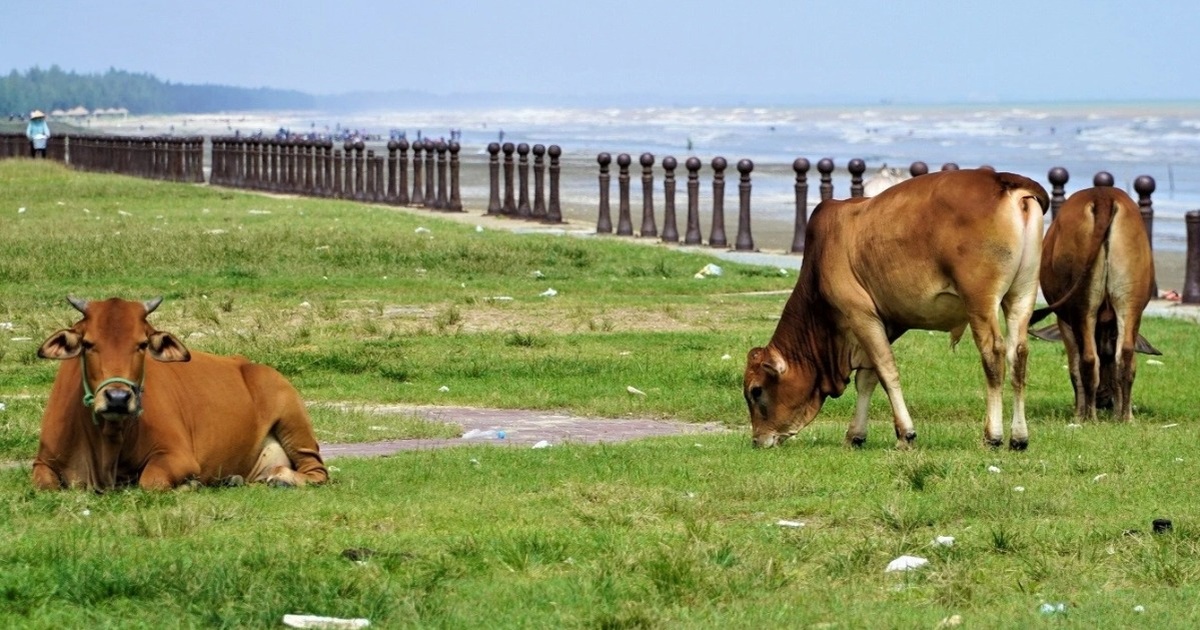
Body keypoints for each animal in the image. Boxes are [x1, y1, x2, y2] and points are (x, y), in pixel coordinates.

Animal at [35, 296, 331, 492]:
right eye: (88, 344)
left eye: (142, 344)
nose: (118, 398)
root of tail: (249, 365)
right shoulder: (42, 461)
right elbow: (44, 484)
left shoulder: (177, 456)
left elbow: (151, 481)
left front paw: (190, 485)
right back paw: (232, 479)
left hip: (294, 423)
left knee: (317, 471)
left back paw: (282, 477)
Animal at [748, 169, 1051, 448]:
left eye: (756, 391)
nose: (757, 440)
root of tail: (1002, 179)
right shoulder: (886, 322)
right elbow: (867, 378)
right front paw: (856, 434)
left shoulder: (860, 314)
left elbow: (886, 371)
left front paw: (905, 433)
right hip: (1022, 293)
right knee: (1018, 354)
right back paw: (1019, 437)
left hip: (980, 300)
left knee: (993, 354)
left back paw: (993, 435)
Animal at [1032, 187, 1161, 422]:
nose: (1103, 400)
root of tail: (1103, 196)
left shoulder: (1064, 322)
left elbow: (1075, 367)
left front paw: (1078, 412)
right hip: (1131, 301)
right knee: (1126, 355)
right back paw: (1125, 417)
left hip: (1081, 306)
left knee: (1089, 360)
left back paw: (1088, 417)